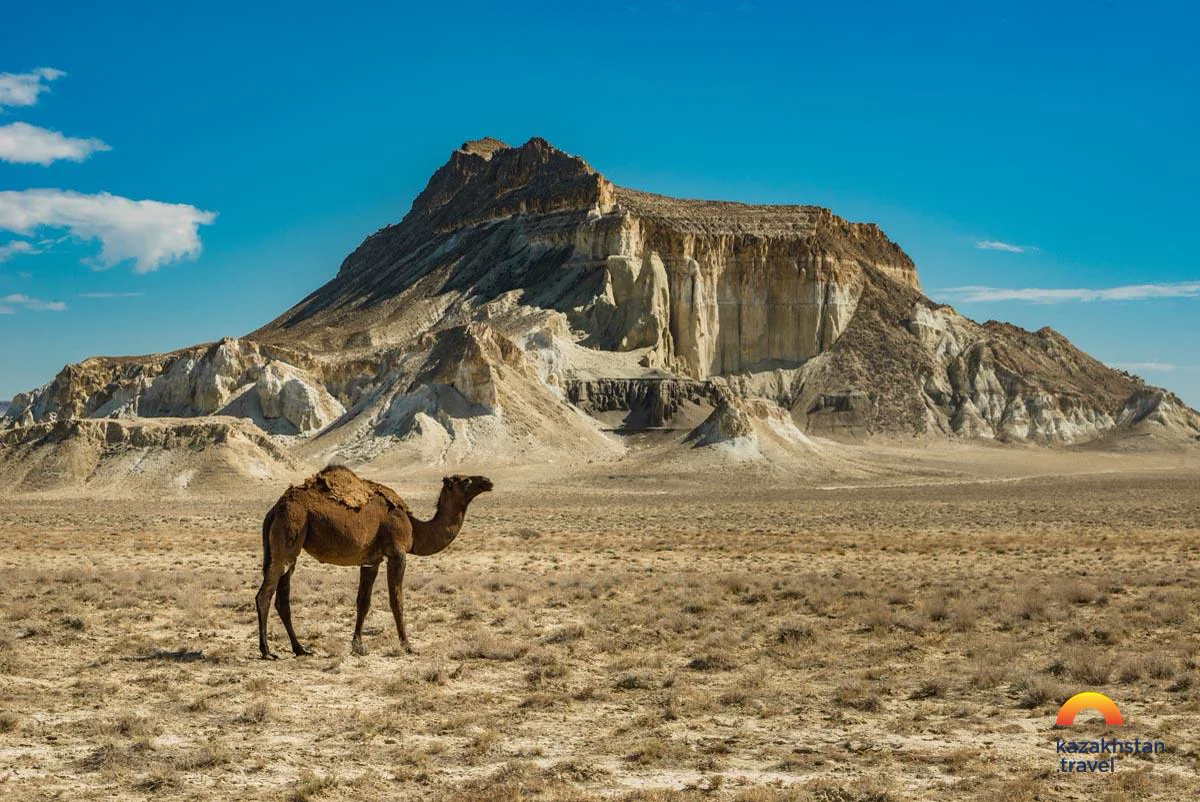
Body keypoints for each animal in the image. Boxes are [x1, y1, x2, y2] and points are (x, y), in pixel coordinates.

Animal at [256, 465, 493, 659]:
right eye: (465, 481)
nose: (487, 481)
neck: (415, 528)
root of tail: (274, 509)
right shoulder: (397, 553)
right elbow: (397, 601)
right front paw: (408, 646)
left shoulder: (371, 561)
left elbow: (363, 601)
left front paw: (358, 647)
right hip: (289, 530)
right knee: (264, 595)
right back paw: (267, 652)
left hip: (290, 549)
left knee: (283, 598)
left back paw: (300, 649)